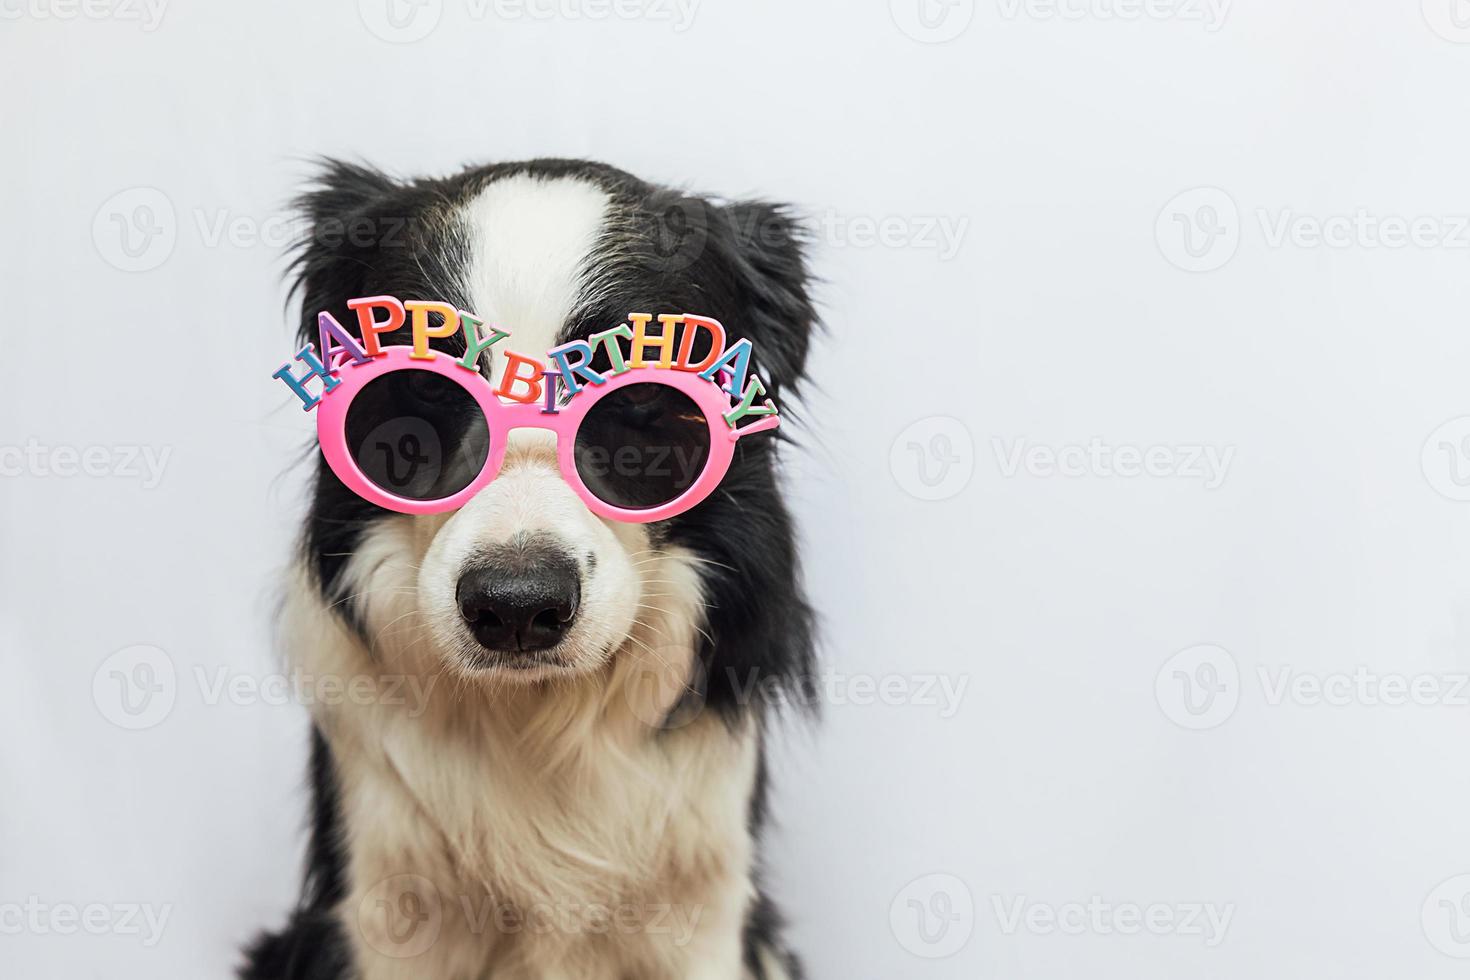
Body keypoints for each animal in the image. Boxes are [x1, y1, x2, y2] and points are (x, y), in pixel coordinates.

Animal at [241, 160, 817, 980]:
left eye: (644, 397)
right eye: (425, 387)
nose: (515, 608)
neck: (538, 717)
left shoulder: (705, 910)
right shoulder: (383, 903)